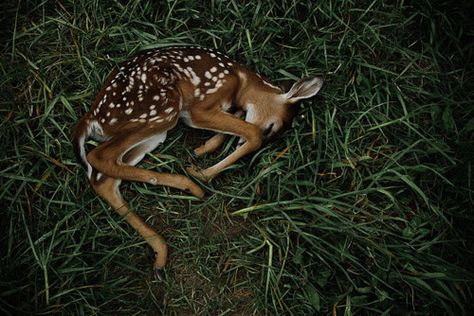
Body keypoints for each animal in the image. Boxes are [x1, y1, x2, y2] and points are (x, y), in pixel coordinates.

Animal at [72, 45, 324, 276]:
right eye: (271, 128)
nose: (238, 145)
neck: (241, 81)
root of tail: (91, 117)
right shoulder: (199, 108)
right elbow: (252, 133)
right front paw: (202, 173)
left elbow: (234, 127)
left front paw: (203, 150)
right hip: (162, 108)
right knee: (98, 156)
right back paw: (191, 186)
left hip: (153, 132)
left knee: (104, 178)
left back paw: (161, 249)